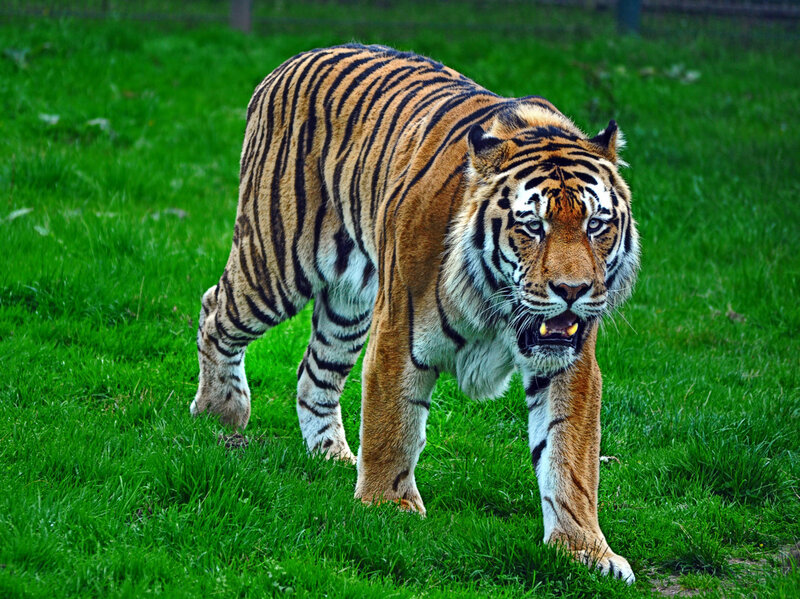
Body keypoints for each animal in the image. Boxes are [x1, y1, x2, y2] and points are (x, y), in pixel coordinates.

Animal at [190, 43, 640, 583]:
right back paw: (222, 410)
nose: (572, 290)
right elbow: (393, 422)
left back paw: (332, 456)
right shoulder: (399, 332)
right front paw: (387, 508)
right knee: (214, 310)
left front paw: (585, 551)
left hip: (349, 303)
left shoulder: (569, 362)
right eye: (532, 226)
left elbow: (570, 455)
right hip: (275, 263)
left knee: (314, 373)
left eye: (597, 225)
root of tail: (292, 60)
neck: (499, 306)